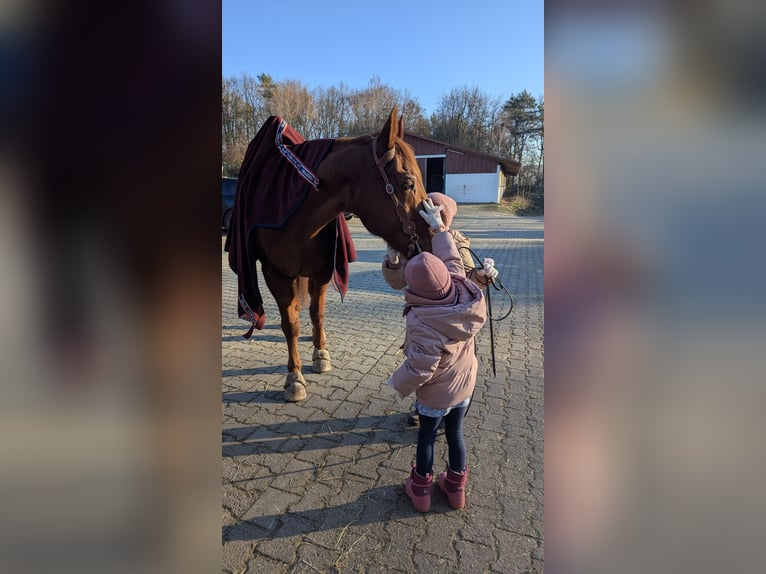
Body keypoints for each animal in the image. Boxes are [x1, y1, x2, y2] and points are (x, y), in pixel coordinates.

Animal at [228, 107, 432, 401]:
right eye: (407, 184)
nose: (430, 240)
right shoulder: (275, 274)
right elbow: (290, 323)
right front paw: (294, 377)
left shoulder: (322, 272)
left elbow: (318, 313)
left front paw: (320, 352)